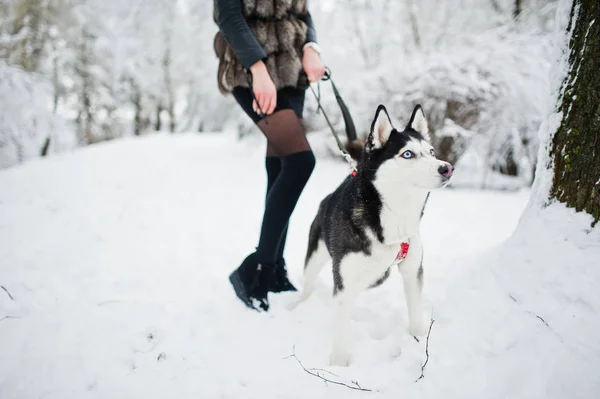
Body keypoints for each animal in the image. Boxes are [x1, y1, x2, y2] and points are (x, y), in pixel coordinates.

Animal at [292, 104, 452, 368]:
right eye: (408, 154)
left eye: (431, 152)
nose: (447, 167)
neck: (393, 217)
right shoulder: (344, 282)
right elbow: (340, 328)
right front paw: (339, 365)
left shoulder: (412, 271)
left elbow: (415, 310)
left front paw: (419, 337)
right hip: (317, 254)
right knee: (308, 283)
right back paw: (297, 305)